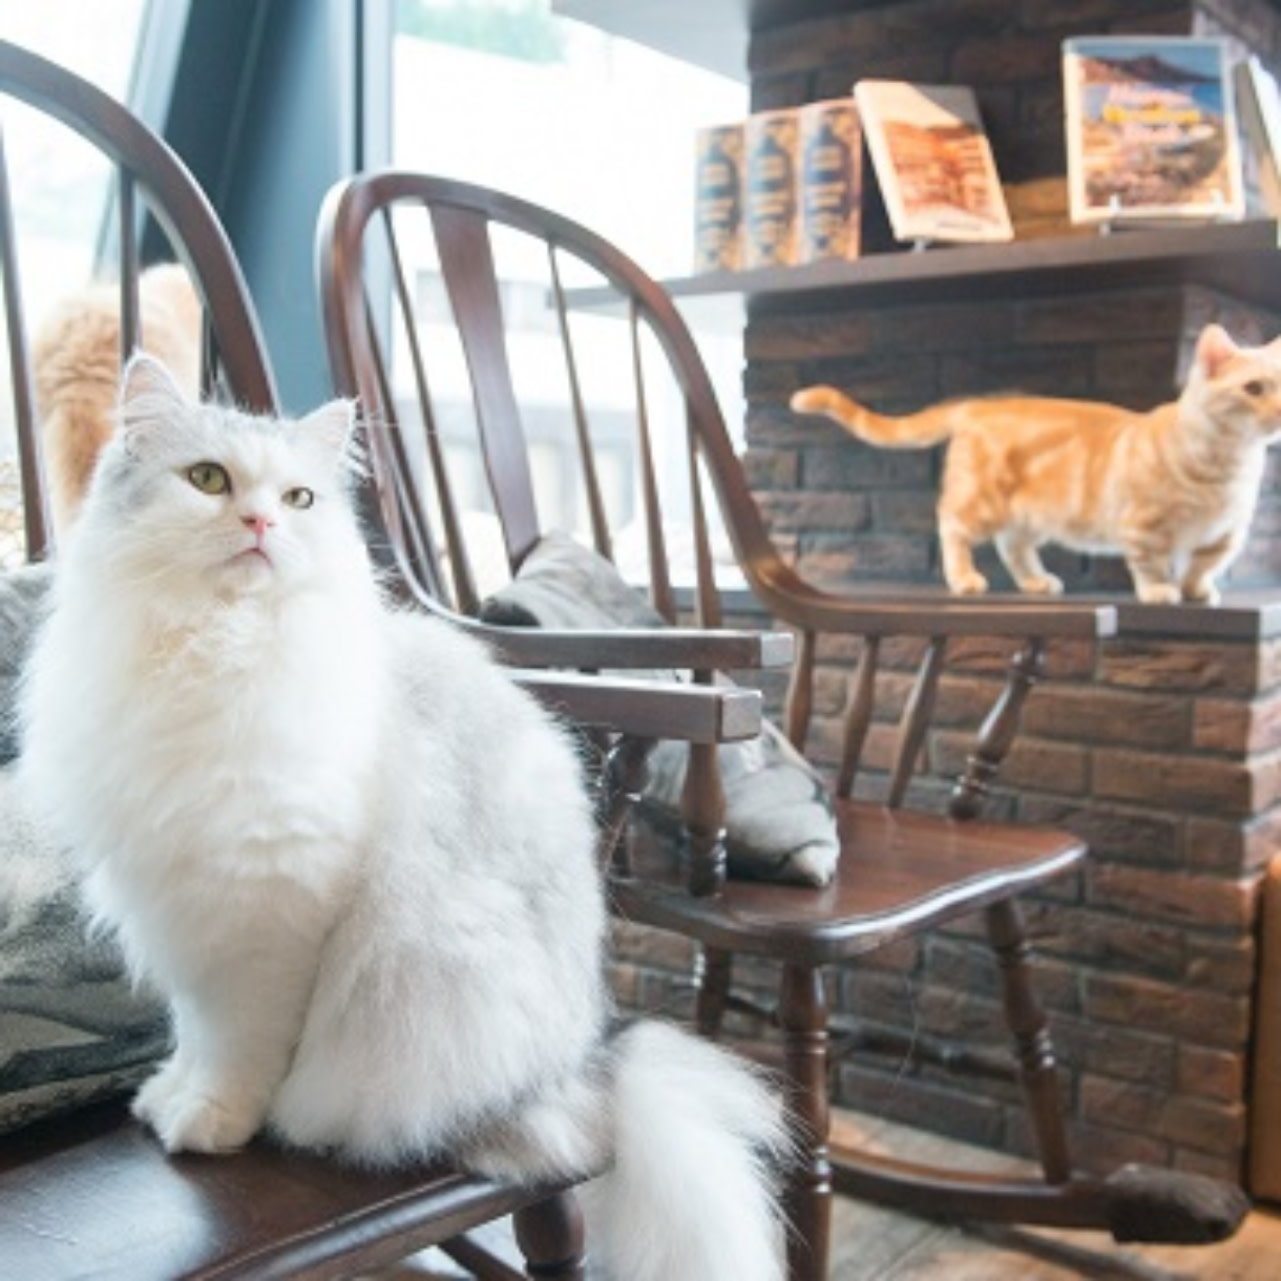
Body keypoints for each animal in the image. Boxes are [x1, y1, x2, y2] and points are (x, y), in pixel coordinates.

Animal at [17, 354, 786, 1281]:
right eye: (208, 480)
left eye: (300, 498)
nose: (260, 522)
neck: (215, 649)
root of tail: (583, 1063)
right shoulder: (184, 913)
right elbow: (195, 1032)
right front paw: (168, 1092)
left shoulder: (262, 922)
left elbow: (237, 1046)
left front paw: (212, 1119)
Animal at [791, 323, 1281, 604]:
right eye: (1254, 388)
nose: (1279, 411)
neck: (1227, 465)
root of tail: (977, 405)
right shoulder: (1145, 527)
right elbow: (1152, 564)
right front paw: (1161, 591)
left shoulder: (1225, 535)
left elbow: (1202, 565)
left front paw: (1198, 591)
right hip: (982, 502)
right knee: (951, 526)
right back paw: (964, 578)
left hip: (1031, 516)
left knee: (1013, 547)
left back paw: (1035, 582)